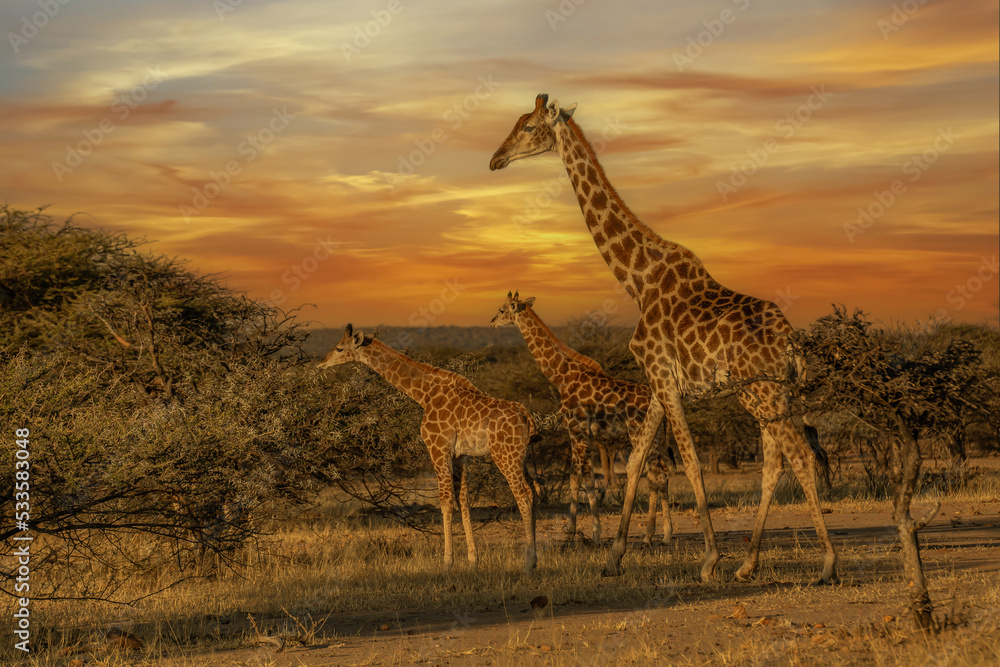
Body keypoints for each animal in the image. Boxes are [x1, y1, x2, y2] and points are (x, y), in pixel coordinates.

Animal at [320, 324, 540, 576]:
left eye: (339, 348)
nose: (321, 363)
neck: (424, 394)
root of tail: (527, 416)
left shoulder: (437, 447)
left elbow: (445, 502)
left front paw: (446, 564)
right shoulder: (460, 456)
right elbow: (463, 501)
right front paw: (473, 562)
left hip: (504, 455)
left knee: (523, 496)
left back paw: (528, 564)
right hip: (520, 456)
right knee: (534, 490)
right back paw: (534, 560)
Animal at [486, 292, 672, 548]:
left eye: (502, 310)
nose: (491, 322)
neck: (562, 377)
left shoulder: (577, 429)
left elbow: (584, 478)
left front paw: (590, 533)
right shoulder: (581, 433)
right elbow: (579, 477)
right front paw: (575, 532)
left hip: (639, 433)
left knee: (656, 474)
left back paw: (652, 535)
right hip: (655, 437)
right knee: (660, 474)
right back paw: (662, 534)